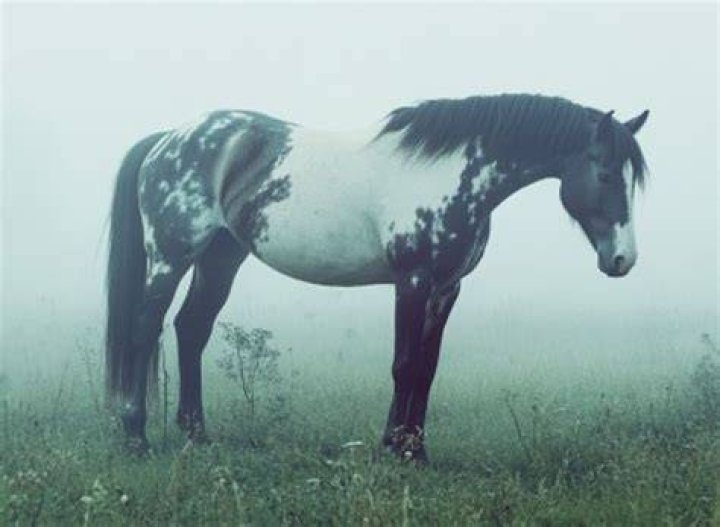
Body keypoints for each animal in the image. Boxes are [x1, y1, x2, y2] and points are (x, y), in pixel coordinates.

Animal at [105, 93, 649, 461]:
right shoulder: (413, 282)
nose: (623, 259)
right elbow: (404, 365)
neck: (451, 173)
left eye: (632, 180)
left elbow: (426, 369)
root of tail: (169, 139)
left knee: (191, 329)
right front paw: (396, 449)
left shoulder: (447, 288)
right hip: (170, 258)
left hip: (221, 258)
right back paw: (135, 436)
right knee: (144, 331)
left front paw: (415, 448)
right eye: (604, 174)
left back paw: (196, 433)